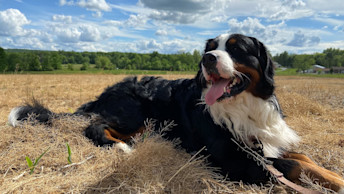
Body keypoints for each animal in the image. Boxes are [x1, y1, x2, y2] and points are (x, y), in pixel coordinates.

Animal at [8, 34, 344, 193]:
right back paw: (124, 148)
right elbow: (292, 165)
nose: (207, 58)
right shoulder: (236, 161)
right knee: (95, 127)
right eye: (210, 47)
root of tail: (106, 92)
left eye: (237, 49)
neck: (242, 105)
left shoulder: (264, 142)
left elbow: (303, 158)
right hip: (135, 112)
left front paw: (334, 177)